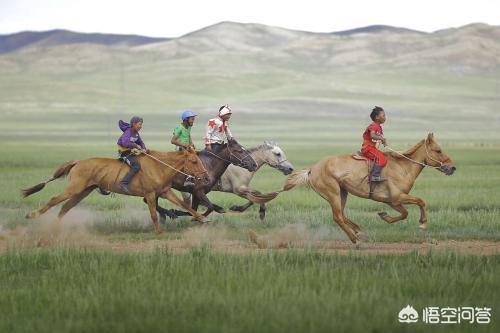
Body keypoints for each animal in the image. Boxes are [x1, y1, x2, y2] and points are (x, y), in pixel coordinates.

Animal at [22, 149, 211, 232]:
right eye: (194, 161)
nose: (207, 178)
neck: (159, 167)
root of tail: (78, 162)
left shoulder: (165, 192)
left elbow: (185, 206)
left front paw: (202, 218)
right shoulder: (150, 195)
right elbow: (153, 214)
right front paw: (159, 232)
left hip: (83, 191)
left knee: (65, 207)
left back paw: (55, 227)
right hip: (74, 188)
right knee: (54, 200)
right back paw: (33, 215)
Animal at [254, 133, 458, 244]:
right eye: (438, 150)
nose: (452, 168)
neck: (402, 167)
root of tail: (313, 169)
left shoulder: (392, 201)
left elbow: (404, 213)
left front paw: (384, 216)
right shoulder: (398, 197)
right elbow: (420, 202)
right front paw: (423, 223)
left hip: (342, 193)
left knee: (342, 215)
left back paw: (359, 231)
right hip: (333, 193)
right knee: (337, 217)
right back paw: (355, 239)